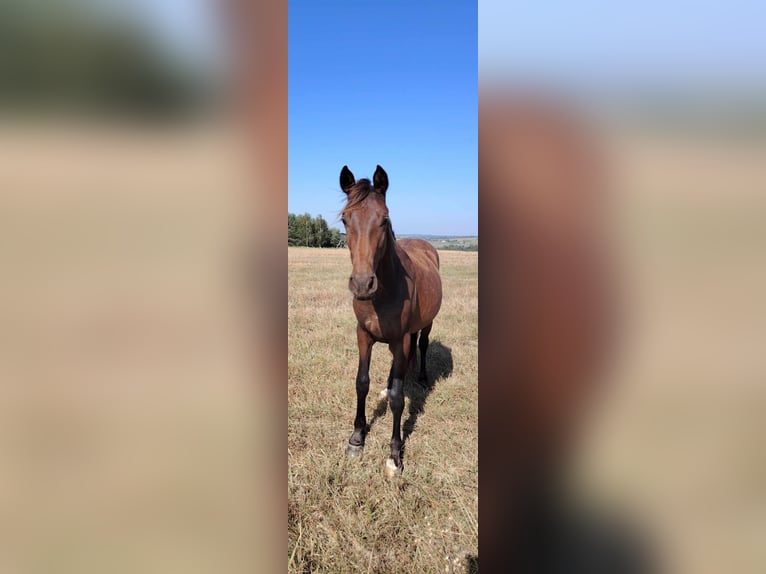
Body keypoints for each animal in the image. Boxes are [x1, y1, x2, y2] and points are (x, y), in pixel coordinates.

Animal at [340, 165, 444, 476]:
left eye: (384, 220)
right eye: (345, 219)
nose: (363, 284)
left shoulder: (401, 339)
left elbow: (400, 398)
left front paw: (395, 455)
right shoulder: (363, 335)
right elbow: (361, 383)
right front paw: (356, 439)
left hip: (423, 327)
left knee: (422, 345)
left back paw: (421, 377)